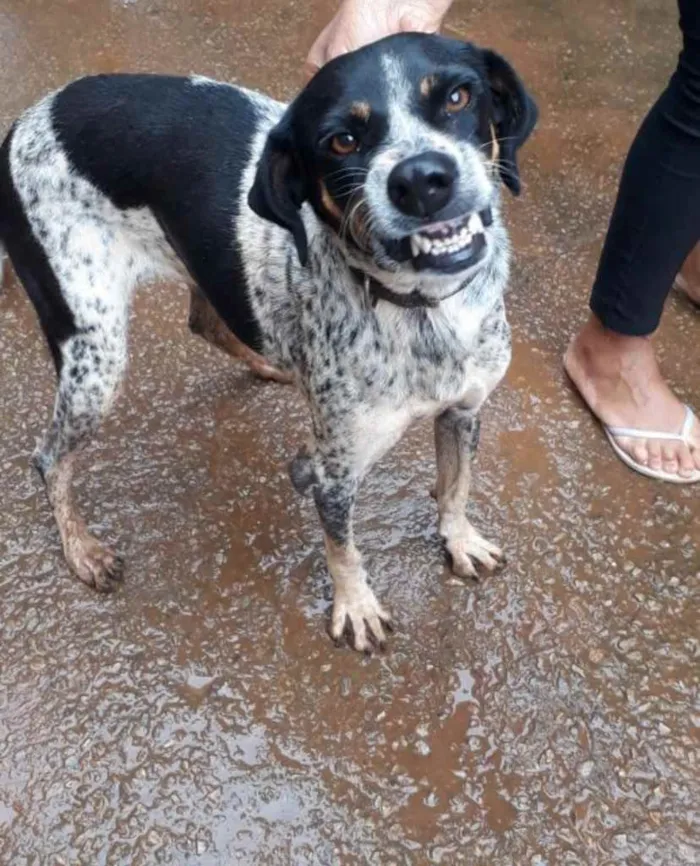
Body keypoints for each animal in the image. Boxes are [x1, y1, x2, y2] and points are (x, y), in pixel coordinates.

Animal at [0, 37, 536, 652]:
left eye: (457, 97)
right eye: (341, 140)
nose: (422, 180)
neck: (425, 312)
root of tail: (24, 121)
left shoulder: (462, 412)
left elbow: (456, 487)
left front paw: (459, 539)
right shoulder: (336, 472)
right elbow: (343, 546)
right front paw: (356, 605)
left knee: (205, 319)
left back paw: (270, 364)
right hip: (95, 358)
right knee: (48, 460)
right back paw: (80, 548)